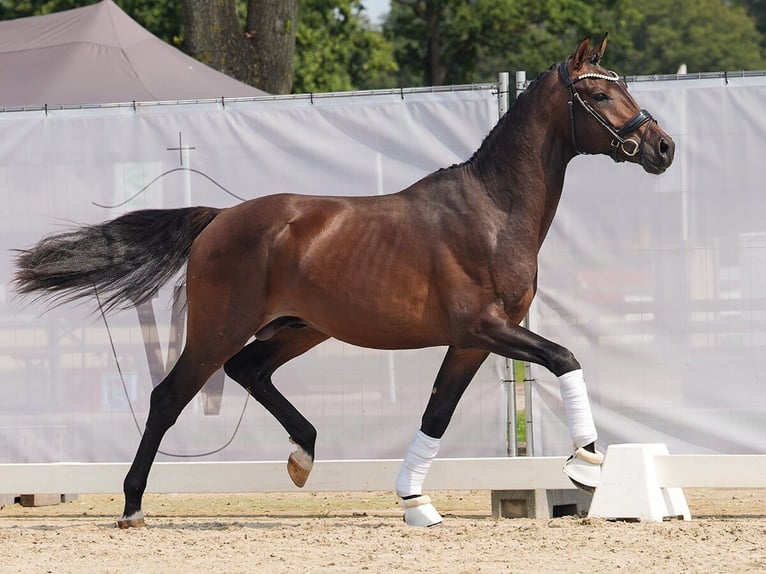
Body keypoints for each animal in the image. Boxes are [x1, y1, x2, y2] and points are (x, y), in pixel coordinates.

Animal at [10, 37, 672, 532]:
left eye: (625, 87)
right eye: (599, 92)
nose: (662, 147)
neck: (493, 209)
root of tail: (219, 219)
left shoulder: (471, 342)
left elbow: (437, 414)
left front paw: (416, 503)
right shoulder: (486, 328)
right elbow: (565, 358)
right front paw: (586, 463)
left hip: (302, 328)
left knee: (250, 370)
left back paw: (302, 456)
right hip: (218, 330)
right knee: (168, 397)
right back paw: (132, 506)